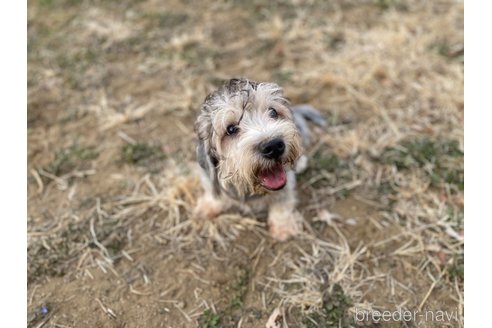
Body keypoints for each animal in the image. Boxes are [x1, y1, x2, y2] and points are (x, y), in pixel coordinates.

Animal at [194, 77, 324, 241]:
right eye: (231, 129)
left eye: (273, 112)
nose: (274, 146)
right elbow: (212, 189)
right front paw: (208, 206)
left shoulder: (287, 184)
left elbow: (282, 200)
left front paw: (283, 227)